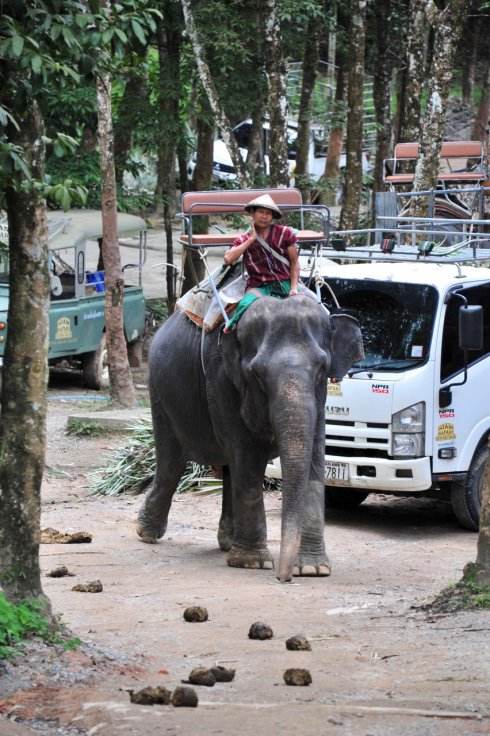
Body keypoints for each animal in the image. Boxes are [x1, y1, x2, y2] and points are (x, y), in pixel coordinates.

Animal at [136, 290, 362, 584]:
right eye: (257, 374)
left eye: (322, 368)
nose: (284, 578)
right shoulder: (221, 378)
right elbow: (247, 457)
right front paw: (253, 563)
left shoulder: (320, 397)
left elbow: (314, 456)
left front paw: (314, 569)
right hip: (160, 394)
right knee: (172, 462)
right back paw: (146, 533)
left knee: (226, 469)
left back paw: (228, 542)